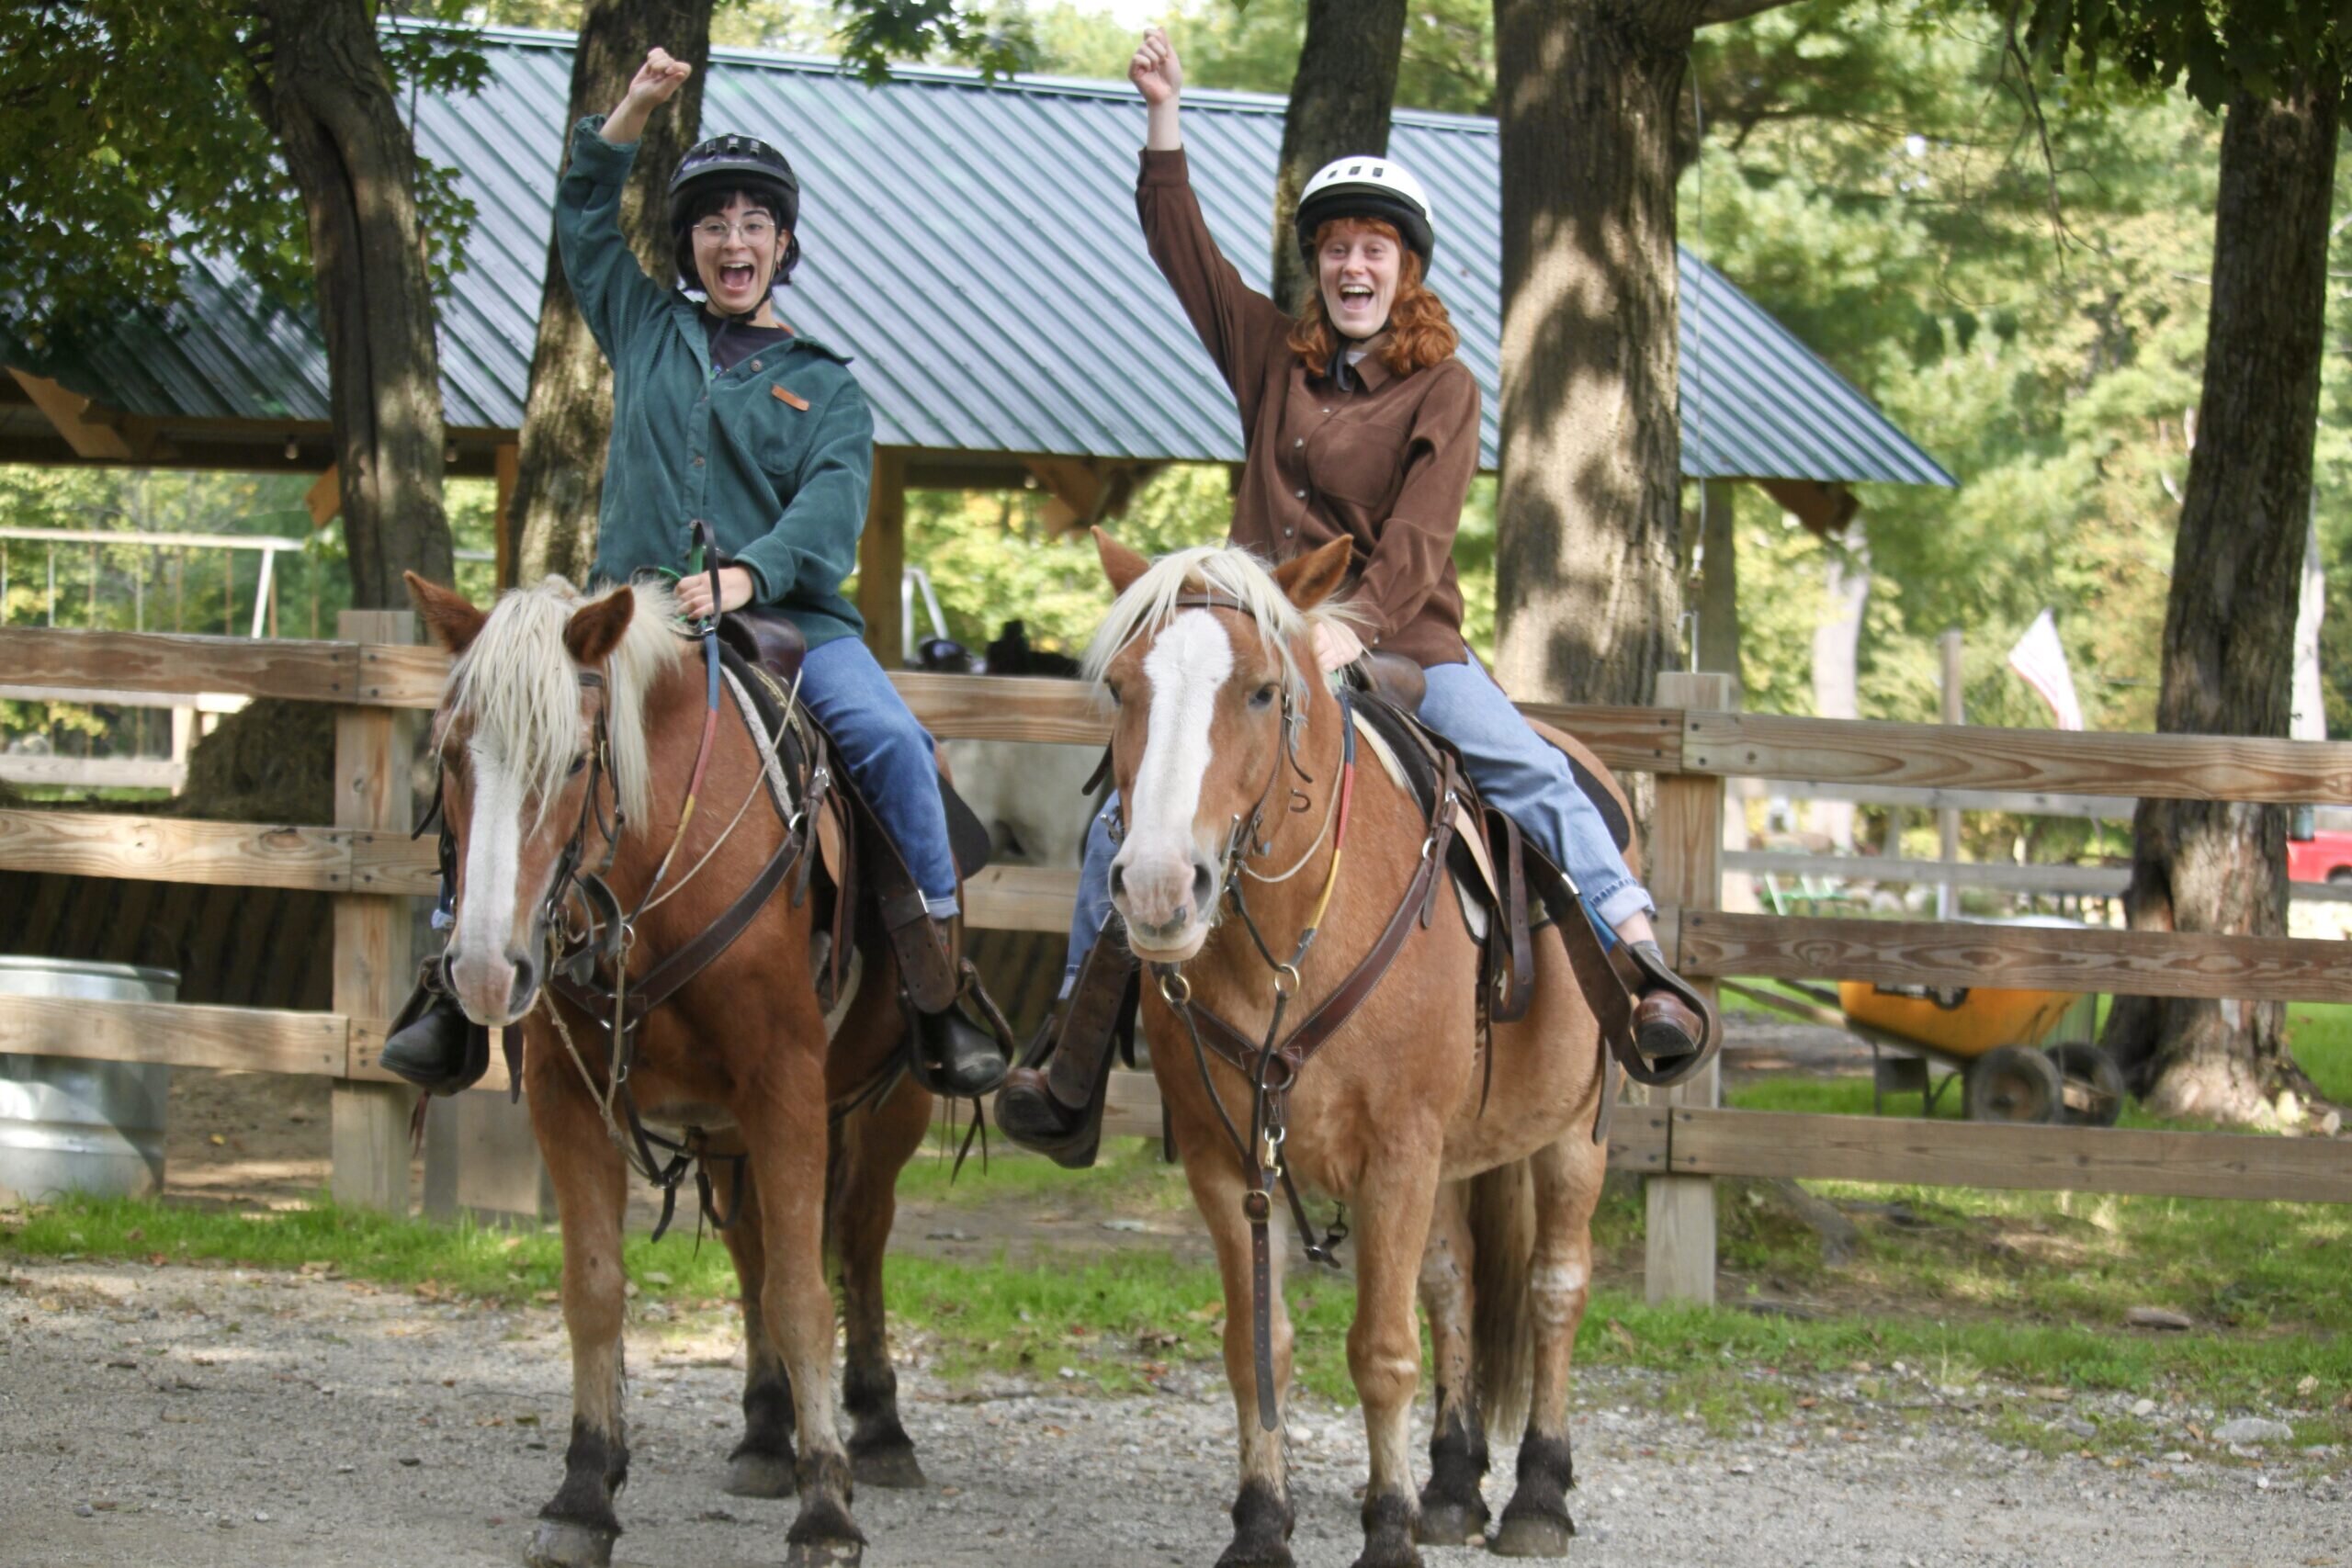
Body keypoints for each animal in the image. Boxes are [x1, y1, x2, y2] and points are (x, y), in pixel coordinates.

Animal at [404, 572, 931, 1568]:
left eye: (576, 760)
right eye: (449, 754)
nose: (485, 970)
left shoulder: (788, 1086)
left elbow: (805, 1294)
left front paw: (826, 1510)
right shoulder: (569, 1097)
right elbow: (596, 1288)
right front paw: (584, 1491)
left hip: (889, 1108)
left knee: (859, 1237)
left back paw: (878, 1429)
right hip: (723, 1134)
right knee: (752, 1248)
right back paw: (765, 1432)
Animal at [1084, 533, 1614, 1568]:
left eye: (1260, 690)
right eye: (1123, 687)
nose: (1160, 887)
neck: (1293, 944)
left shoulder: (1398, 1150)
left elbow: (1380, 1350)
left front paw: (1388, 1531)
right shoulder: (1224, 1156)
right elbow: (1258, 1347)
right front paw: (1262, 1522)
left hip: (1575, 1134)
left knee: (1554, 1288)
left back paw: (1538, 1492)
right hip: (1454, 1158)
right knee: (1452, 1284)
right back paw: (1450, 1483)